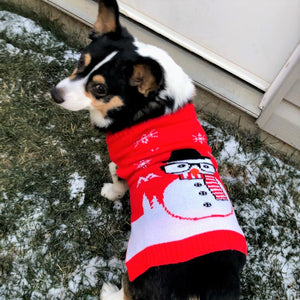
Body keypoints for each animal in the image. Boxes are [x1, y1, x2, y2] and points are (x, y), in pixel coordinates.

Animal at [50, 1, 246, 298]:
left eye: (100, 88)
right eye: (79, 63)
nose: (54, 95)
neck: (150, 105)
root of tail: (206, 284)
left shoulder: (125, 162)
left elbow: (117, 178)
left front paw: (110, 191)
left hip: (136, 273)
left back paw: (108, 291)